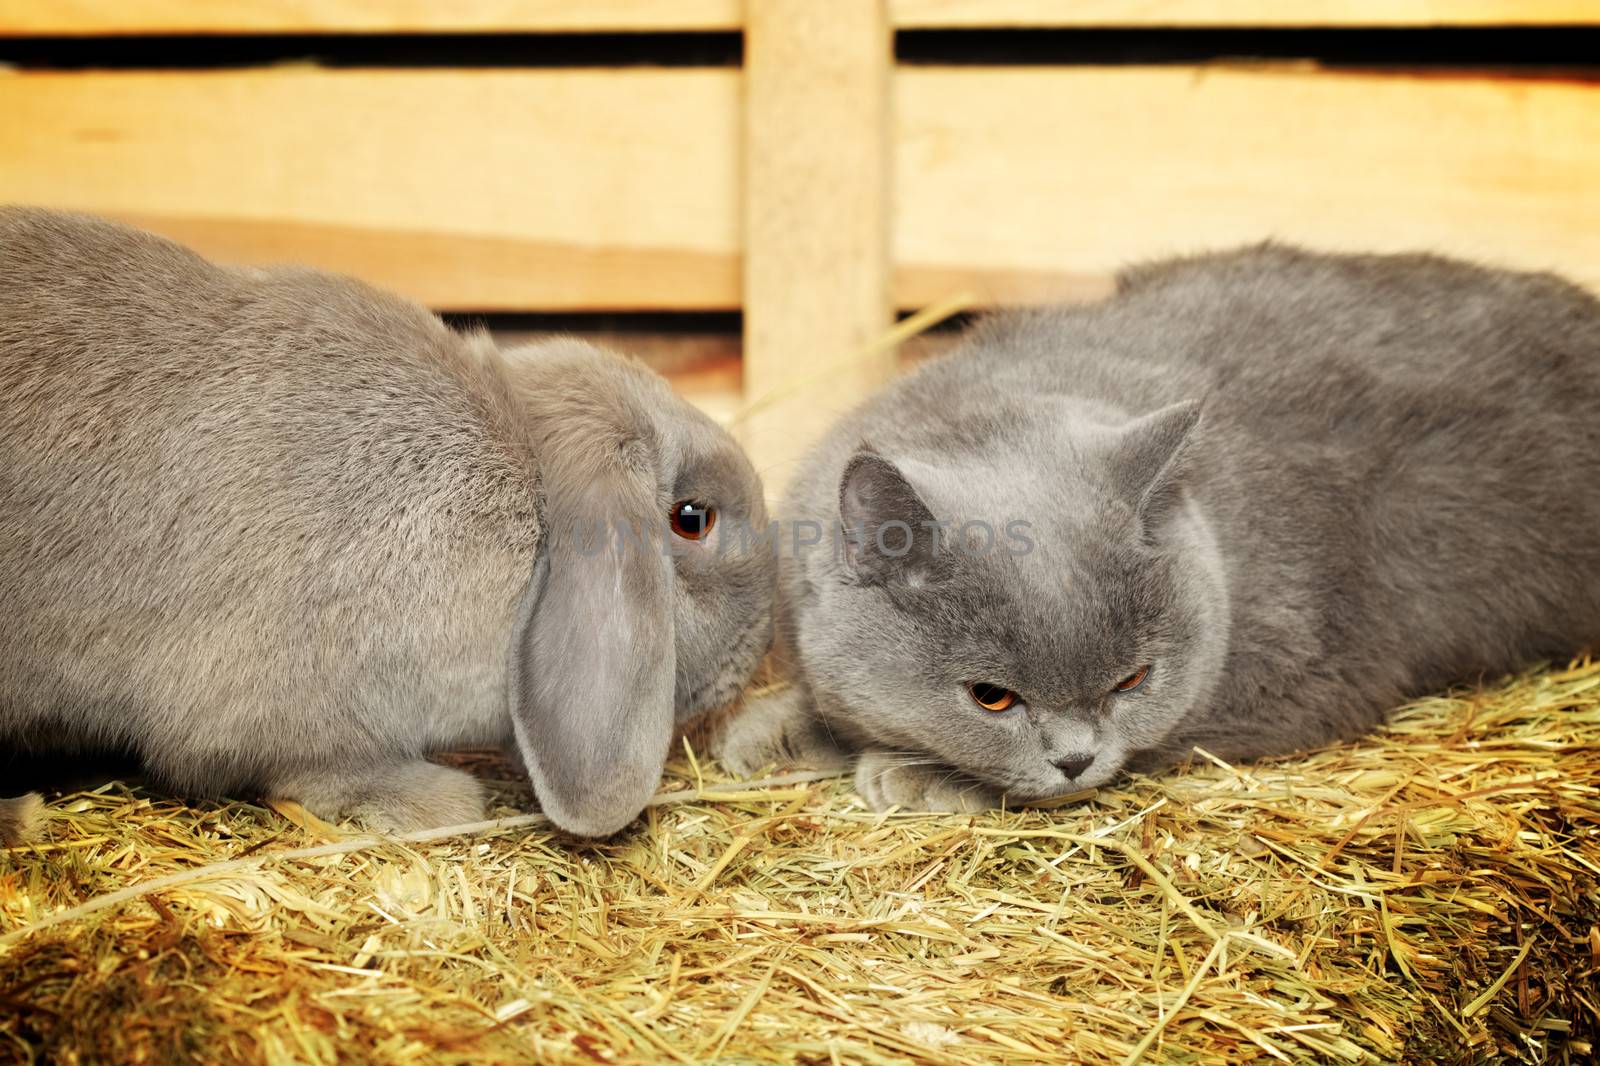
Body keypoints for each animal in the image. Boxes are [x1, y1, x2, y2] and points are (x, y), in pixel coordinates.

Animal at [720, 243, 1600, 806]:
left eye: (1133, 682)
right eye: (991, 698)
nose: (1075, 760)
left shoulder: (1300, 677)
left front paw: (915, 773)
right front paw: (773, 730)